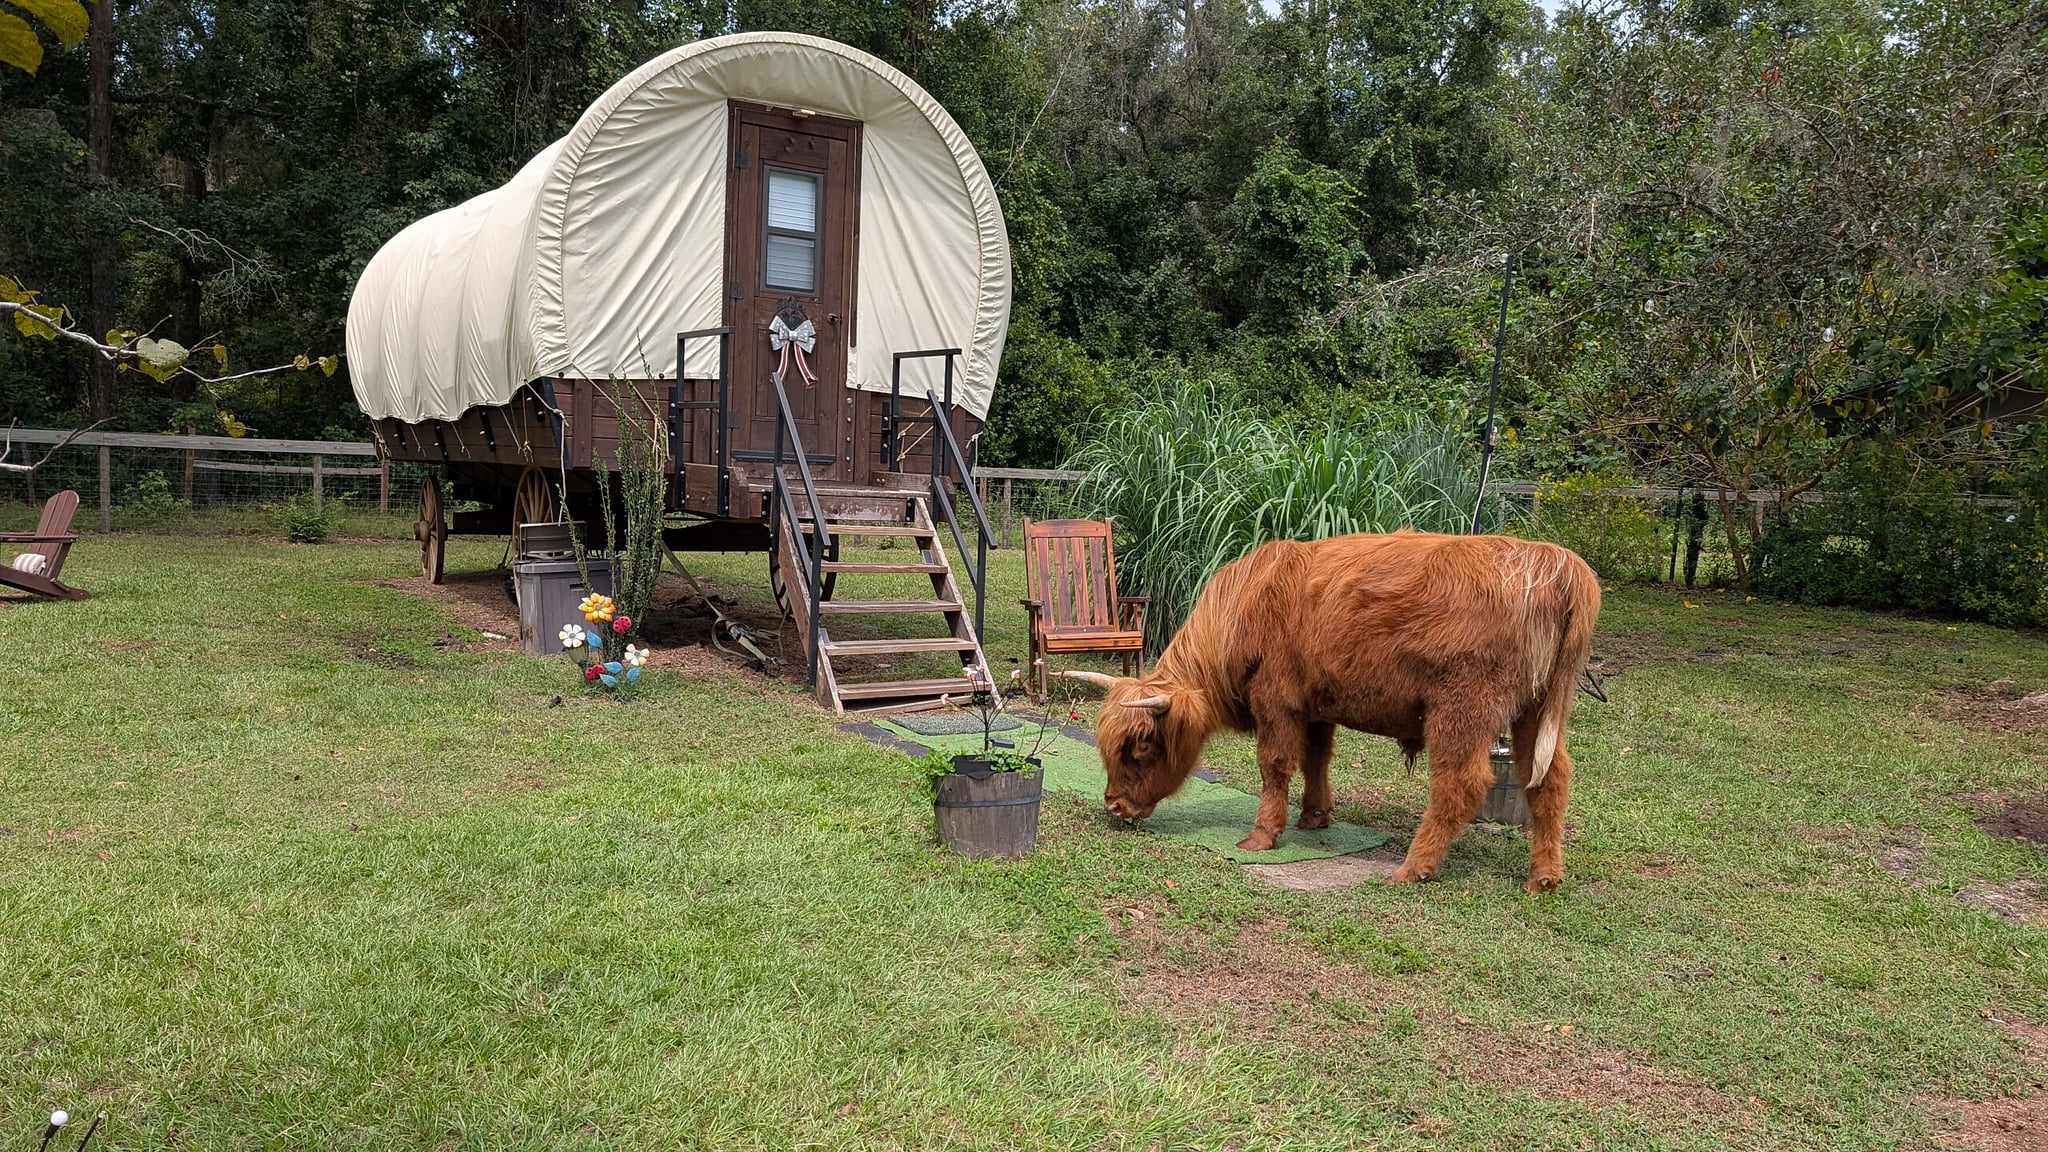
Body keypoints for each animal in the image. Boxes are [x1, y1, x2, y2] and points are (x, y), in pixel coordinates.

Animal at [1063, 529, 1600, 894]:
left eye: (1141, 747)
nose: (1113, 806)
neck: (1243, 609)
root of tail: (1553, 560)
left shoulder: (1277, 702)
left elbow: (1276, 765)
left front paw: (1262, 834)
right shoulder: (1316, 705)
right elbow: (1317, 758)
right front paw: (1314, 817)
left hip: (1461, 708)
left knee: (1460, 783)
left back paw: (1412, 868)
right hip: (1534, 710)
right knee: (1549, 779)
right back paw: (1543, 877)